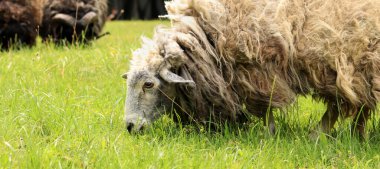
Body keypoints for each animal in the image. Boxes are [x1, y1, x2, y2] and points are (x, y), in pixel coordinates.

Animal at [123, 0, 378, 139]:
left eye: (149, 84)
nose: (129, 126)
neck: (208, 40)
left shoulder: (257, 70)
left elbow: (265, 107)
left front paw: (269, 135)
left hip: (353, 59)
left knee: (349, 102)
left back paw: (326, 135)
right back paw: (355, 136)